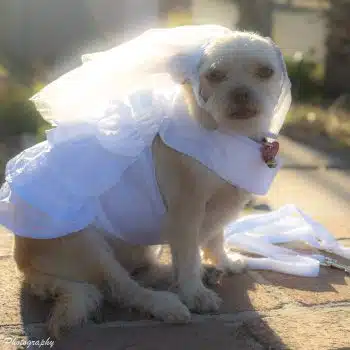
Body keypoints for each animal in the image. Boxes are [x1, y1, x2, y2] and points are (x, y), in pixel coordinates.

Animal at [11, 31, 284, 338]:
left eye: (265, 72)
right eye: (215, 75)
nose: (240, 92)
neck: (229, 134)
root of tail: (27, 268)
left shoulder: (217, 211)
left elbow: (215, 239)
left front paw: (223, 262)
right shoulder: (186, 215)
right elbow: (189, 256)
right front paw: (195, 294)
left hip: (138, 250)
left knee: (148, 270)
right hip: (91, 248)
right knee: (123, 289)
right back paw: (167, 304)